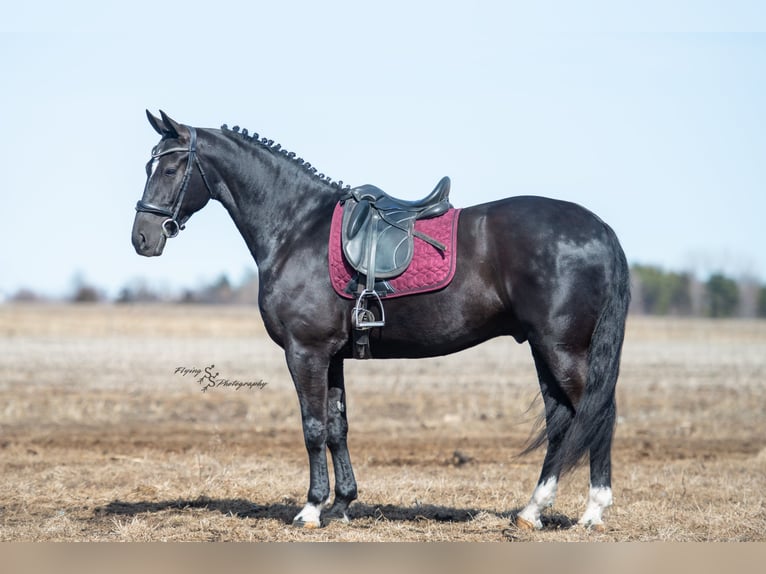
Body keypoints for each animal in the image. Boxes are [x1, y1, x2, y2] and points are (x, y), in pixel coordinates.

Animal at [132, 110, 630, 532]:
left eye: (170, 169)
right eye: (148, 166)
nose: (142, 238)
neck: (297, 228)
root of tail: (601, 228)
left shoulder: (305, 352)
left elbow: (313, 427)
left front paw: (310, 510)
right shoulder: (332, 356)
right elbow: (337, 427)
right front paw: (342, 504)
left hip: (562, 348)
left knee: (597, 413)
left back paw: (592, 512)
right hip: (546, 349)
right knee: (562, 420)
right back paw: (532, 511)